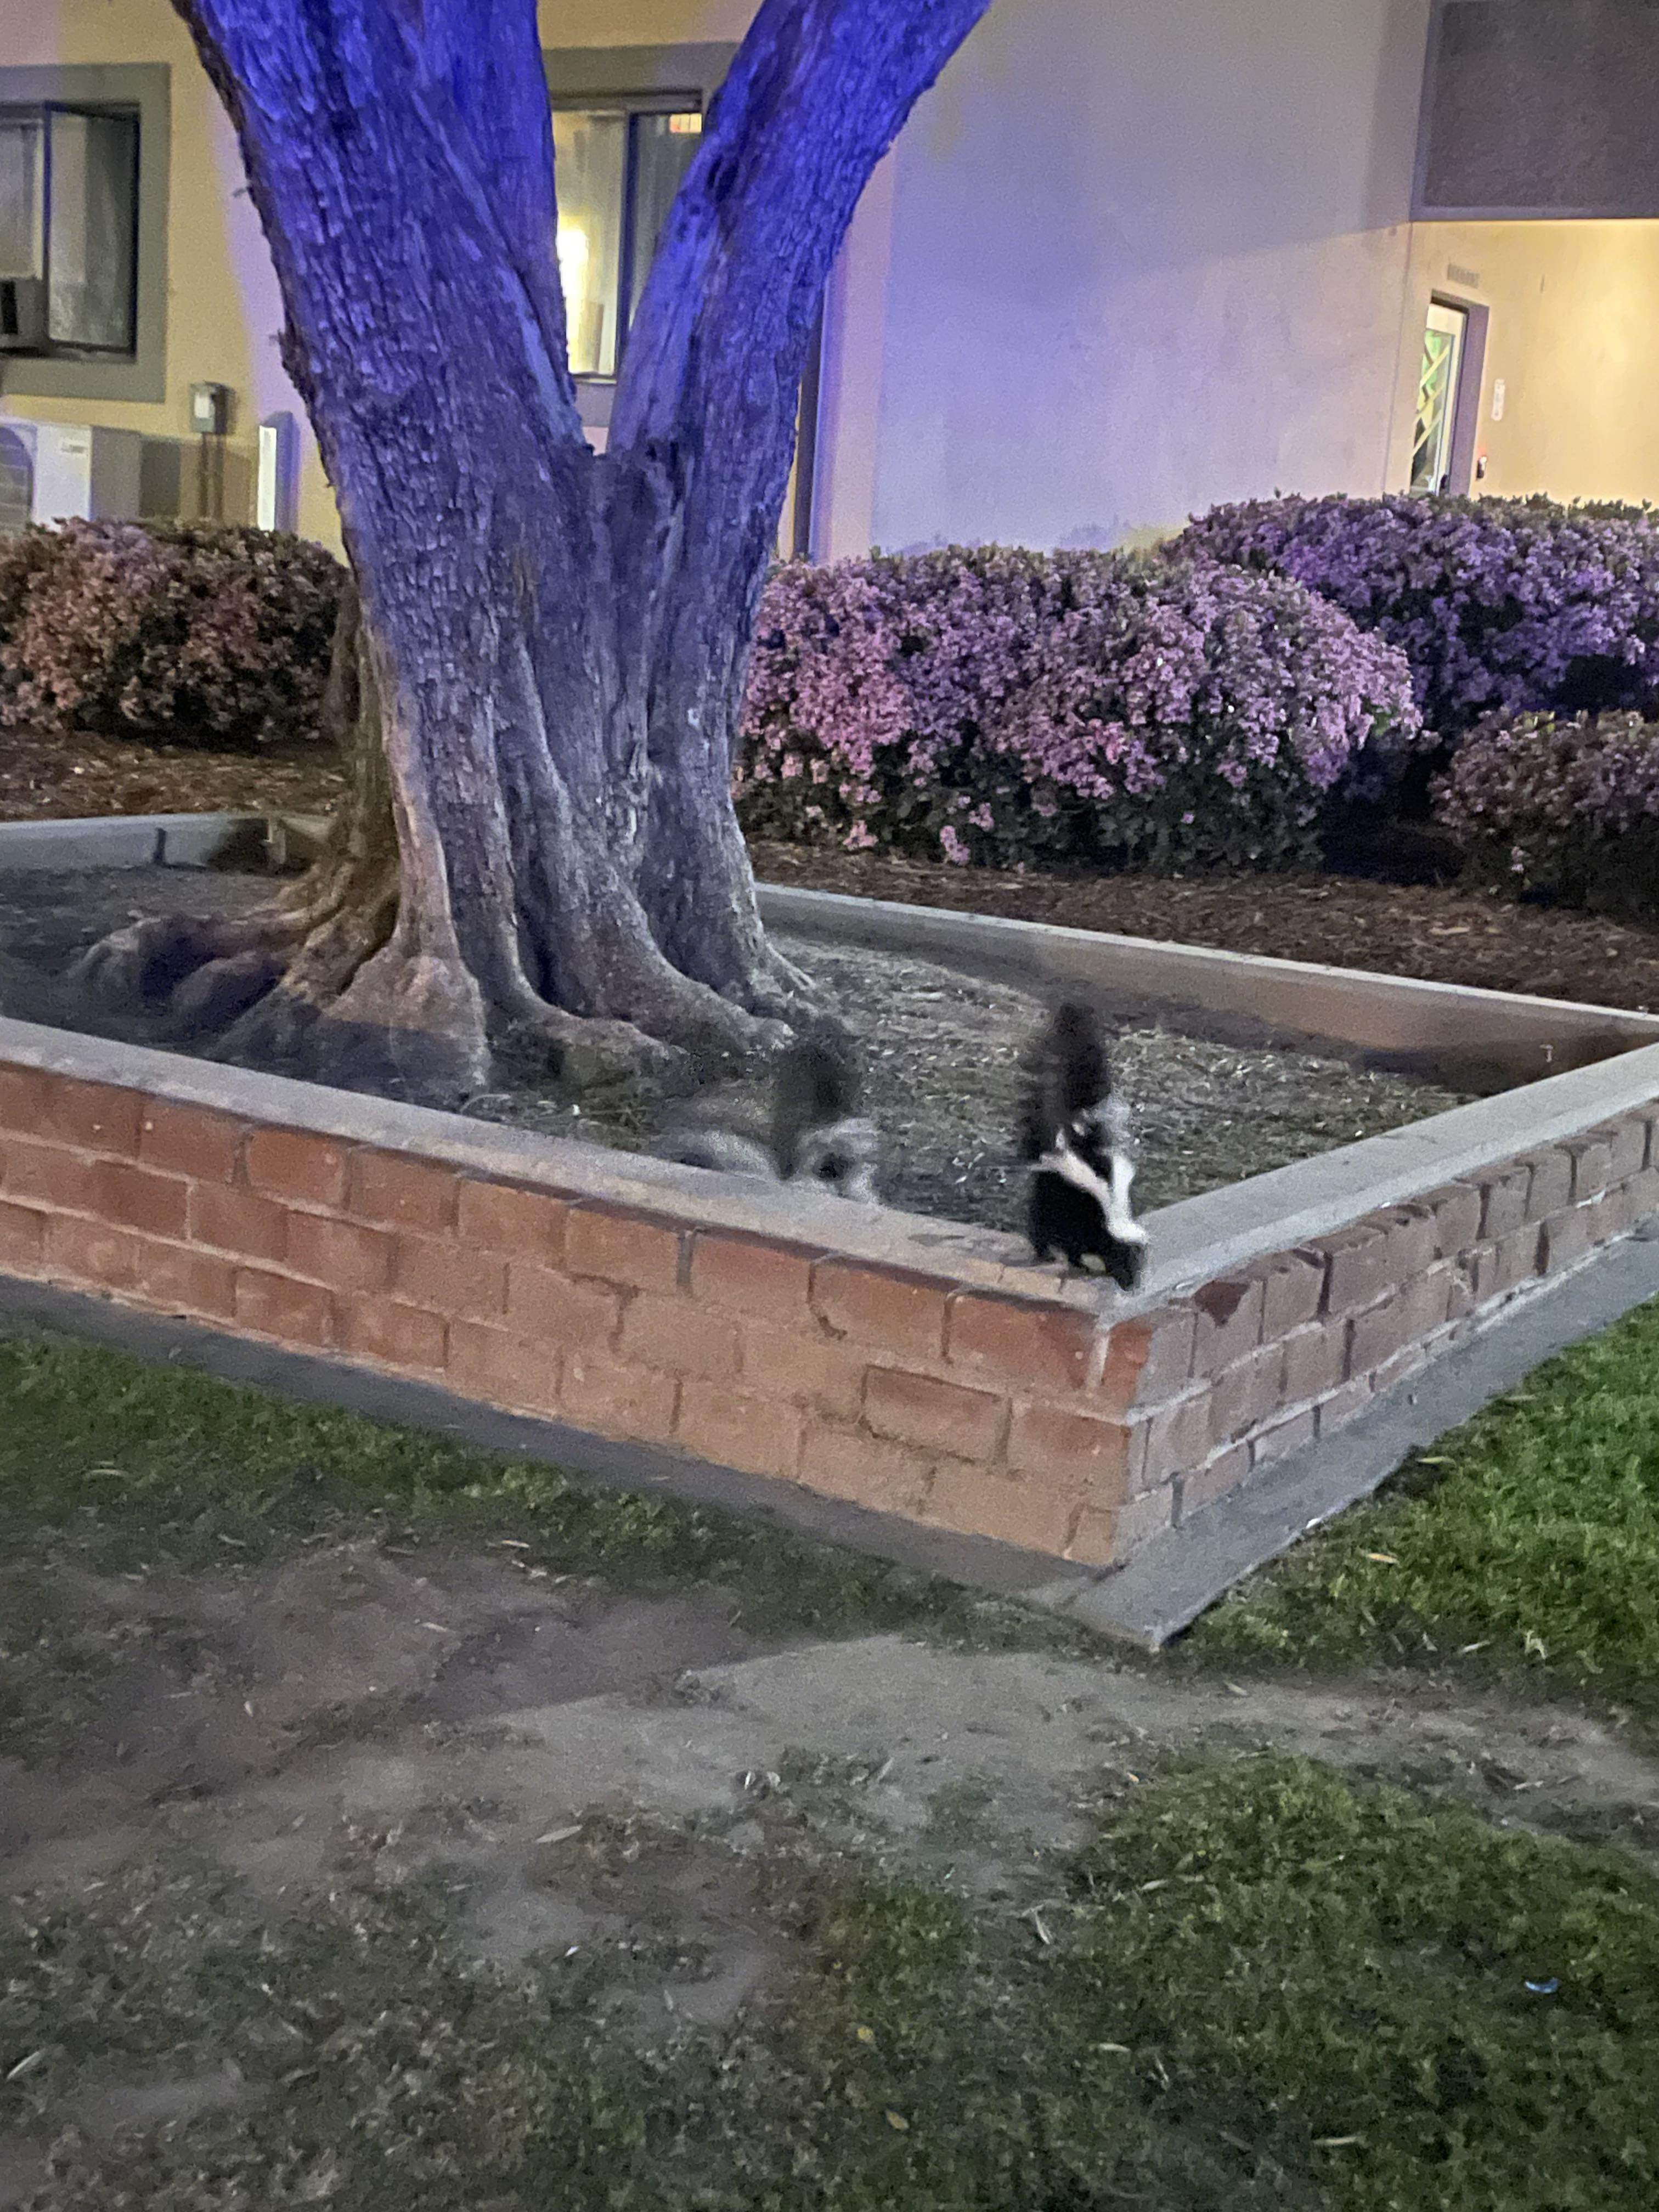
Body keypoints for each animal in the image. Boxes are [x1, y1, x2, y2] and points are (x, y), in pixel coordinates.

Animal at [1022, 1000, 1150, 1291]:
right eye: (1123, 1263)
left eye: (1138, 1266)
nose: (1132, 1287)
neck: (1111, 1215)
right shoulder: (1080, 1220)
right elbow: (1073, 1246)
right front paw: (1081, 1265)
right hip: (1049, 1195)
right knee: (1039, 1226)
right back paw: (1043, 1253)